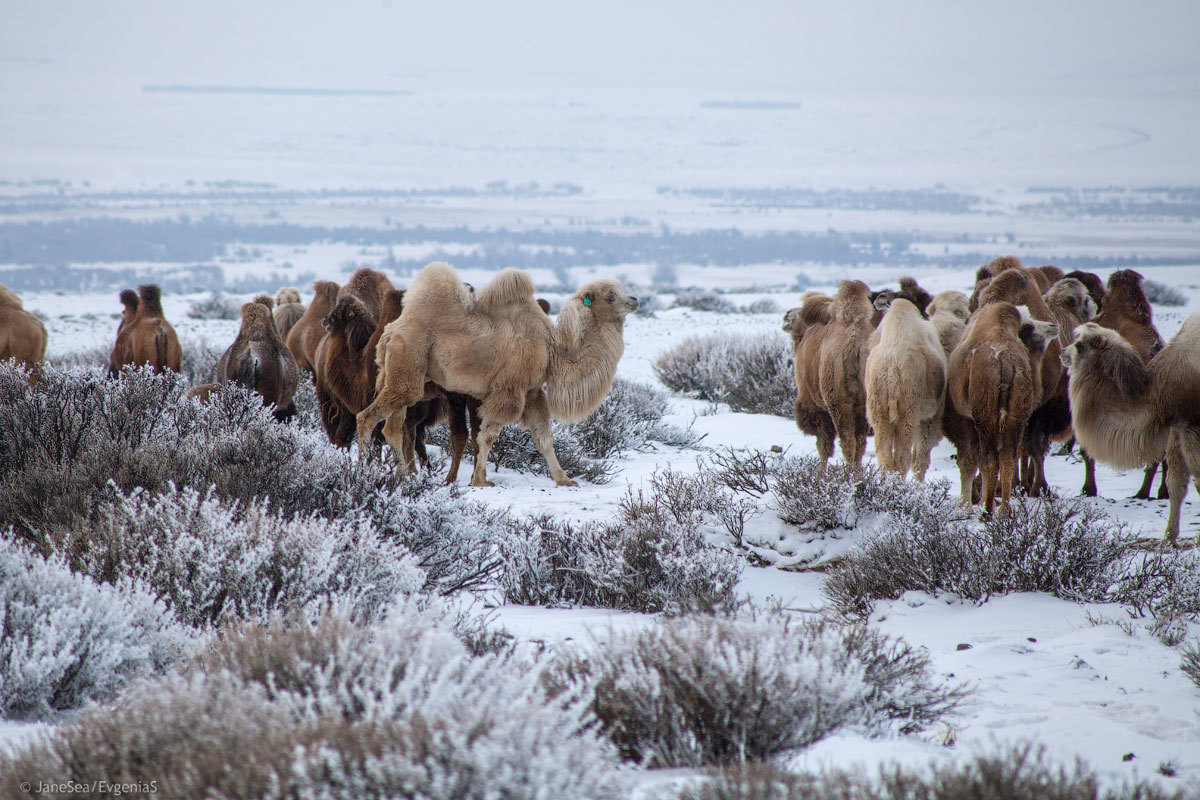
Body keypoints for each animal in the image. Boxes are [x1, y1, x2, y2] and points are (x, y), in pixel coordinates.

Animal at [357, 263, 633, 489]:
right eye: (610, 297)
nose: (634, 300)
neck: (550, 347)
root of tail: (390, 333)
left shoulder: (532, 392)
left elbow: (544, 438)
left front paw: (564, 479)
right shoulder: (509, 390)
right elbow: (488, 435)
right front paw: (480, 480)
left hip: (399, 376)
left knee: (393, 427)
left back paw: (403, 477)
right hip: (407, 369)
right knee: (366, 417)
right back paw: (361, 472)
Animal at [864, 296, 945, 479]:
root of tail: (892, 372)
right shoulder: (931, 417)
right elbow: (921, 458)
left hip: (879, 413)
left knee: (885, 458)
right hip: (908, 414)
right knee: (903, 460)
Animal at [945, 303, 1060, 515]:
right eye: (1029, 326)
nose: (1052, 326)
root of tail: (1005, 363)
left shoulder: (968, 421)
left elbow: (971, 461)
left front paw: (967, 505)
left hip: (986, 417)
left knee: (990, 460)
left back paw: (987, 510)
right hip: (1016, 417)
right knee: (1008, 458)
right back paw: (1004, 509)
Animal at [1060, 319, 1200, 544]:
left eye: (1080, 346)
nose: (1062, 352)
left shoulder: (1191, 425)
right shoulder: (1177, 425)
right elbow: (1176, 484)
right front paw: (1168, 538)